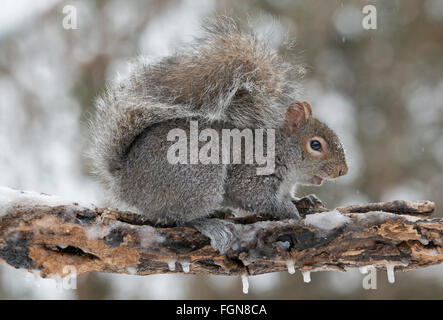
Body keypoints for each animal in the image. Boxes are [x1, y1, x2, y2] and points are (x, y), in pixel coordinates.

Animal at [89, 17, 346, 252]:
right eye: (315, 145)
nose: (343, 171)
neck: (280, 149)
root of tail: (124, 180)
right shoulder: (250, 174)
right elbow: (255, 197)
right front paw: (289, 211)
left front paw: (304, 201)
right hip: (199, 179)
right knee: (181, 217)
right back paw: (211, 224)